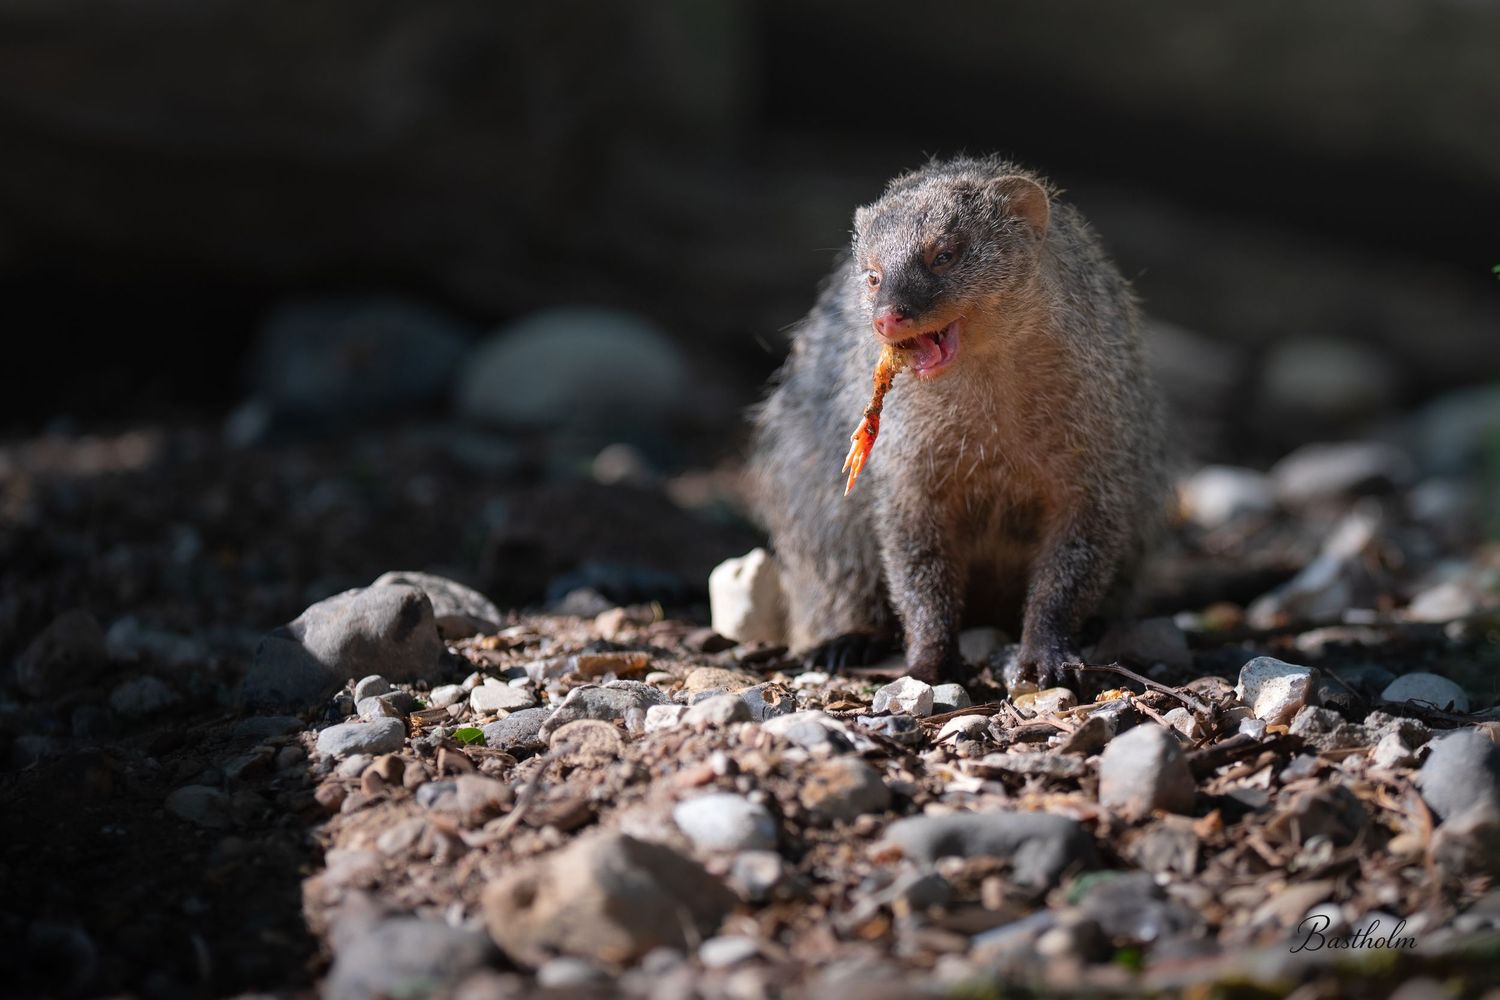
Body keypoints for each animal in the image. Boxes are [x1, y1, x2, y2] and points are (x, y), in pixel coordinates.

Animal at [748, 155, 1168, 689]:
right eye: (872, 275)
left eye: (944, 255)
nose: (887, 318)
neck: (992, 416)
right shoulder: (905, 468)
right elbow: (915, 567)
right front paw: (929, 665)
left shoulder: (1100, 453)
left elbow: (1073, 566)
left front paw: (1047, 656)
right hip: (807, 484)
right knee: (828, 567)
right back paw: (843, 642)